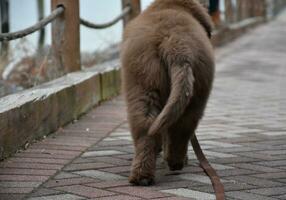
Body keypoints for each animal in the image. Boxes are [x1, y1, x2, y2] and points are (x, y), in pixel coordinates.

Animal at [120, 0, 214, 186]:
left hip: (146, 81)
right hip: (187, 89)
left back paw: (149, 172)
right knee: (177, 126)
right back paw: (165, 166)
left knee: (154, 127)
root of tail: (177, 46)